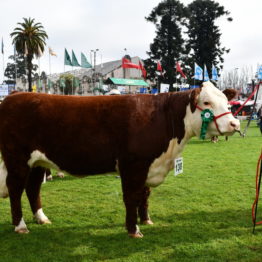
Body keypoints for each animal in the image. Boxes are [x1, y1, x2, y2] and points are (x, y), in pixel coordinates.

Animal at [0, 81, 239, 237]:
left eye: (227, 101)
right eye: (206, 103)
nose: (234, 124)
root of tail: (13, 96)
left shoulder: (149, 165)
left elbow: (145, 195)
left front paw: (146, 220)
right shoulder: (133, 165)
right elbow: (132, 197)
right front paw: (134, 230)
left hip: (38, 162)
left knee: (32, 188)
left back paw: (41, 218)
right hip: (17, 159)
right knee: (15, 188)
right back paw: (20, 226)